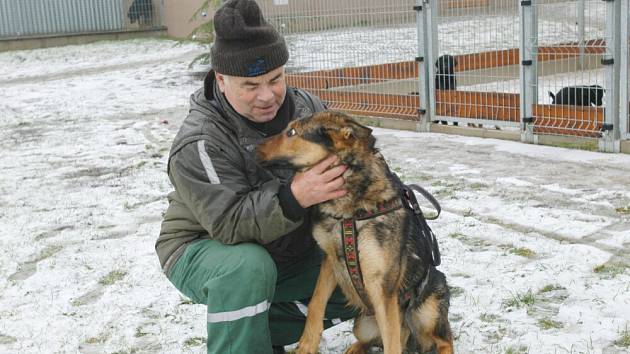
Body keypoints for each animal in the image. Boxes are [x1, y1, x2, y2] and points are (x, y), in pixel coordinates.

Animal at [256, 111, 454, 354]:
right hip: (363, 323)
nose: (253, 147)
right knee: (375, 339)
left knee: (443, 339)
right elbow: (315, 303)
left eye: (292, 132)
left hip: (428, 310)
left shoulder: (383, 289)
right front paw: (306, 344)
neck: (349, 212)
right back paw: (354, 348)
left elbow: (391, 343)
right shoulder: (330, 260)